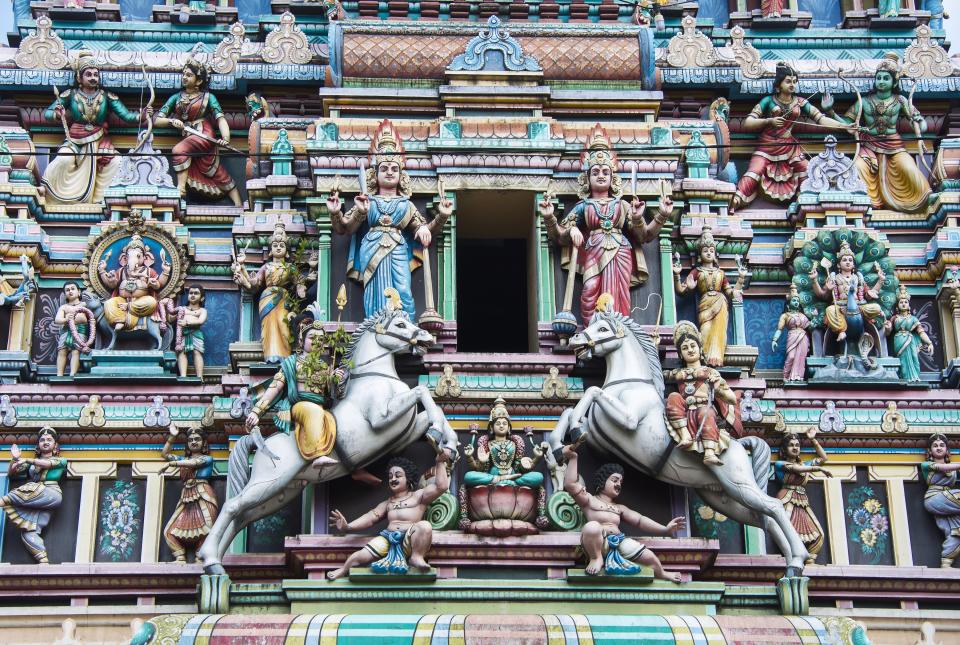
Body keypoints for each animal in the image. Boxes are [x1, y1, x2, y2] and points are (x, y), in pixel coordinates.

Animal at [197, 306, 460, 572]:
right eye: (400, 325)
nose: (427, 338)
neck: (375, 376)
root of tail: (263, 443)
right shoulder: (380, 418)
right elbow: (421, 391)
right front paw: (441, 435)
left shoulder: (402, 436)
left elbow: (430, 414)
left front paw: (447, 442)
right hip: (269, 478)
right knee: (232, 506)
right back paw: (210, 559)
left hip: (282, 490)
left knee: (242, 515)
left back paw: (216, 563)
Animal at [548, 310, 808, 572]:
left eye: (602, 329)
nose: (575, 338)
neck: (628, 382)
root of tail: (738, 444)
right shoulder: (599, 438)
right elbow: (568, 412)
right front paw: (559, 445)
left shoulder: (629, 419)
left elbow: (593, 391)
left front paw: (573, 430)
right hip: (722, 496)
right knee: (762, 518)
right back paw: (791, 566)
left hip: (739, 481)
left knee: (774, 507)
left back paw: (798, 558)